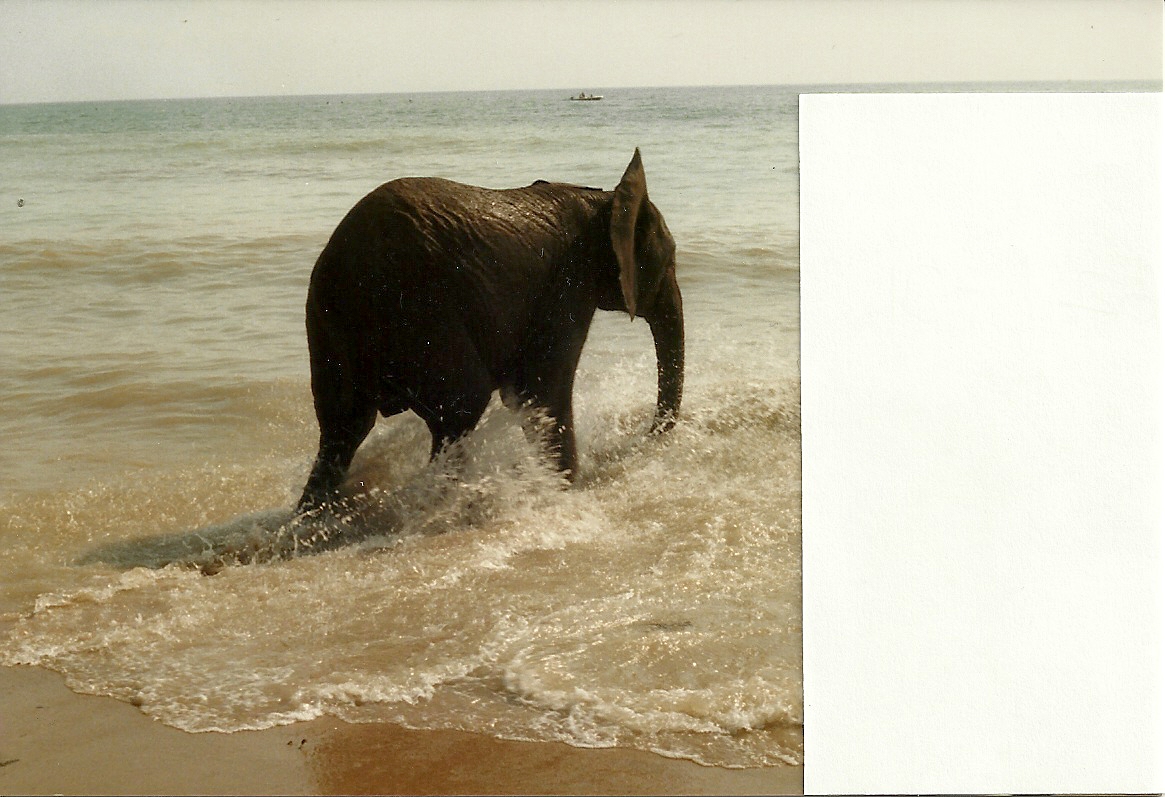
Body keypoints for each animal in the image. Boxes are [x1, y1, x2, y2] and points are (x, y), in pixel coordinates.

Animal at [295, 149, 684, 512]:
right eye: (669, 261)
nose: (648, 436)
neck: (602, 200)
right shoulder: (566, 286)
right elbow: (539, 390)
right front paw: (564, 488)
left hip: (333, 324)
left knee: (344, 427)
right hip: (422, 313)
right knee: (459, 408)